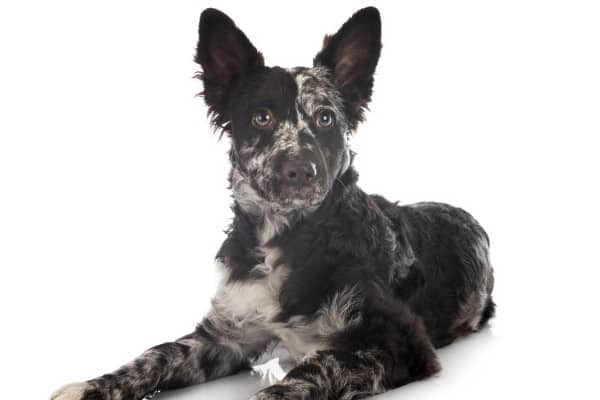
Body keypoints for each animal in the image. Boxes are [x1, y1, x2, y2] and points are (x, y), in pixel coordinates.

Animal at [51, 6, 494, 400]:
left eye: (325, 118)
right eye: (261, 117)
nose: (299, 170)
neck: (288, 237)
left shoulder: (399, 340)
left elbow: (315, 368)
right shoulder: (225, 335)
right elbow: (157, 354)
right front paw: (90, 386)